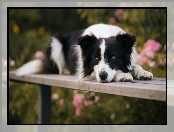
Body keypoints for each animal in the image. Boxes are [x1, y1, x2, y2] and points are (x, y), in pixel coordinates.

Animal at [16, 23, 152, 82]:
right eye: (95, 58)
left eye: (114, 57)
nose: (102, 76)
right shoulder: (86, 72)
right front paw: (123, 75)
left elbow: (134, 67)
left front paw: (143, 72)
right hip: (56, 42)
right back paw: (66, 71)